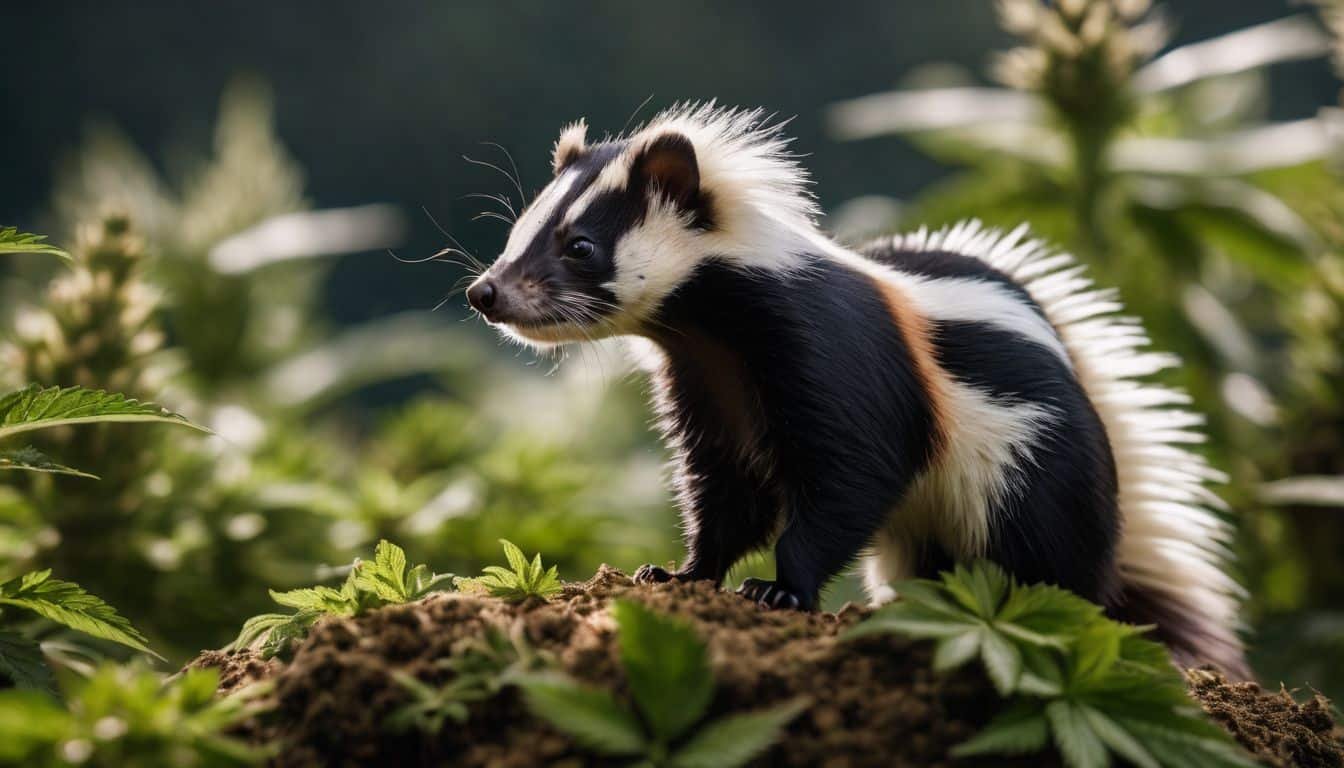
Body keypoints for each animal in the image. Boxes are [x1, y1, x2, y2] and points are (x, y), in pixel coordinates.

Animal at [465, 104, 1247, 675]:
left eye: (581, 247)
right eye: (520, 231)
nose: (485, 292)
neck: (719, 334)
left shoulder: (835, 356)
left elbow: (853, 474)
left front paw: (779, 588)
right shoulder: (710, 387)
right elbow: (726, 489)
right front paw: (682, 572)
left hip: (1034, 467)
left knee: (1046, 559)